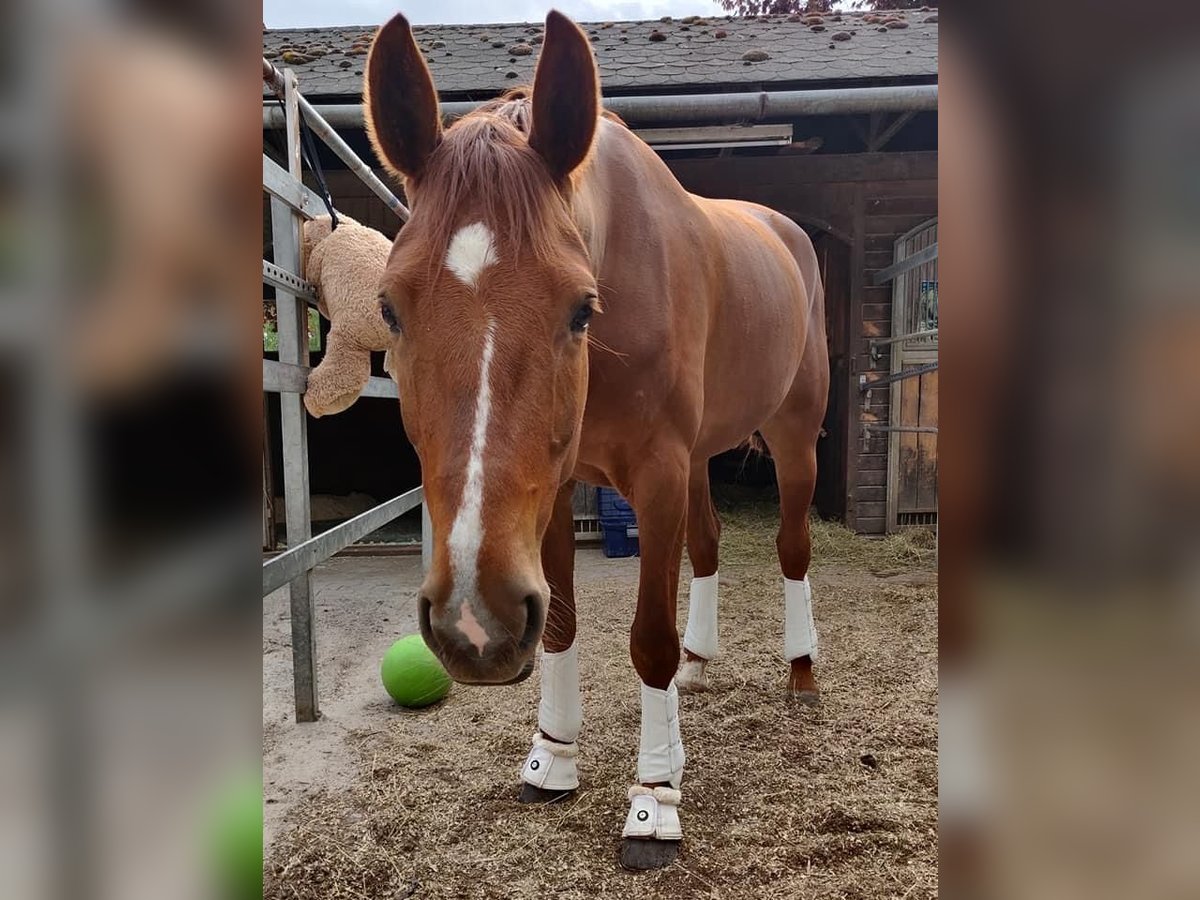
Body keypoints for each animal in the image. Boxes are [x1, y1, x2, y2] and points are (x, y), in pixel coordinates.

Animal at [369, 8, 830, 873]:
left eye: (582, 307)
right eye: (388, 307)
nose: (472, 624)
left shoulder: (655, 474)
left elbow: (647, 638)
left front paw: (653, 801)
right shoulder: (552, 491)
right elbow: (559, 620)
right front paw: (553, 759)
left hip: (793, 434)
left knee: (792, 548)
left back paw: (801, 670)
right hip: (701, 456)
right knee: (709, 542)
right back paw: (701, 662)